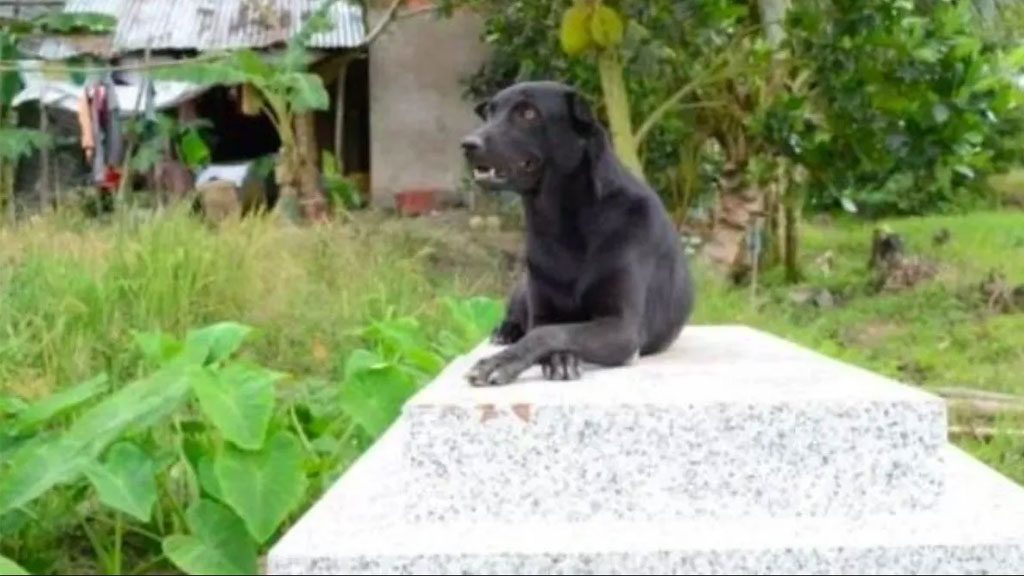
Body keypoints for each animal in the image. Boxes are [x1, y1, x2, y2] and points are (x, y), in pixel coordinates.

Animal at [462, 80, 696, 385]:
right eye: (490, 112)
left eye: (528, 113)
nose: (468, 144)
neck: (565, 223)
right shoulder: (543, 313)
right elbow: (544, 330)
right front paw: (554, 358)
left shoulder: (621, 327)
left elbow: (551, 333)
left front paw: (502, 363)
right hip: (523, 285)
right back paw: (505, 331)